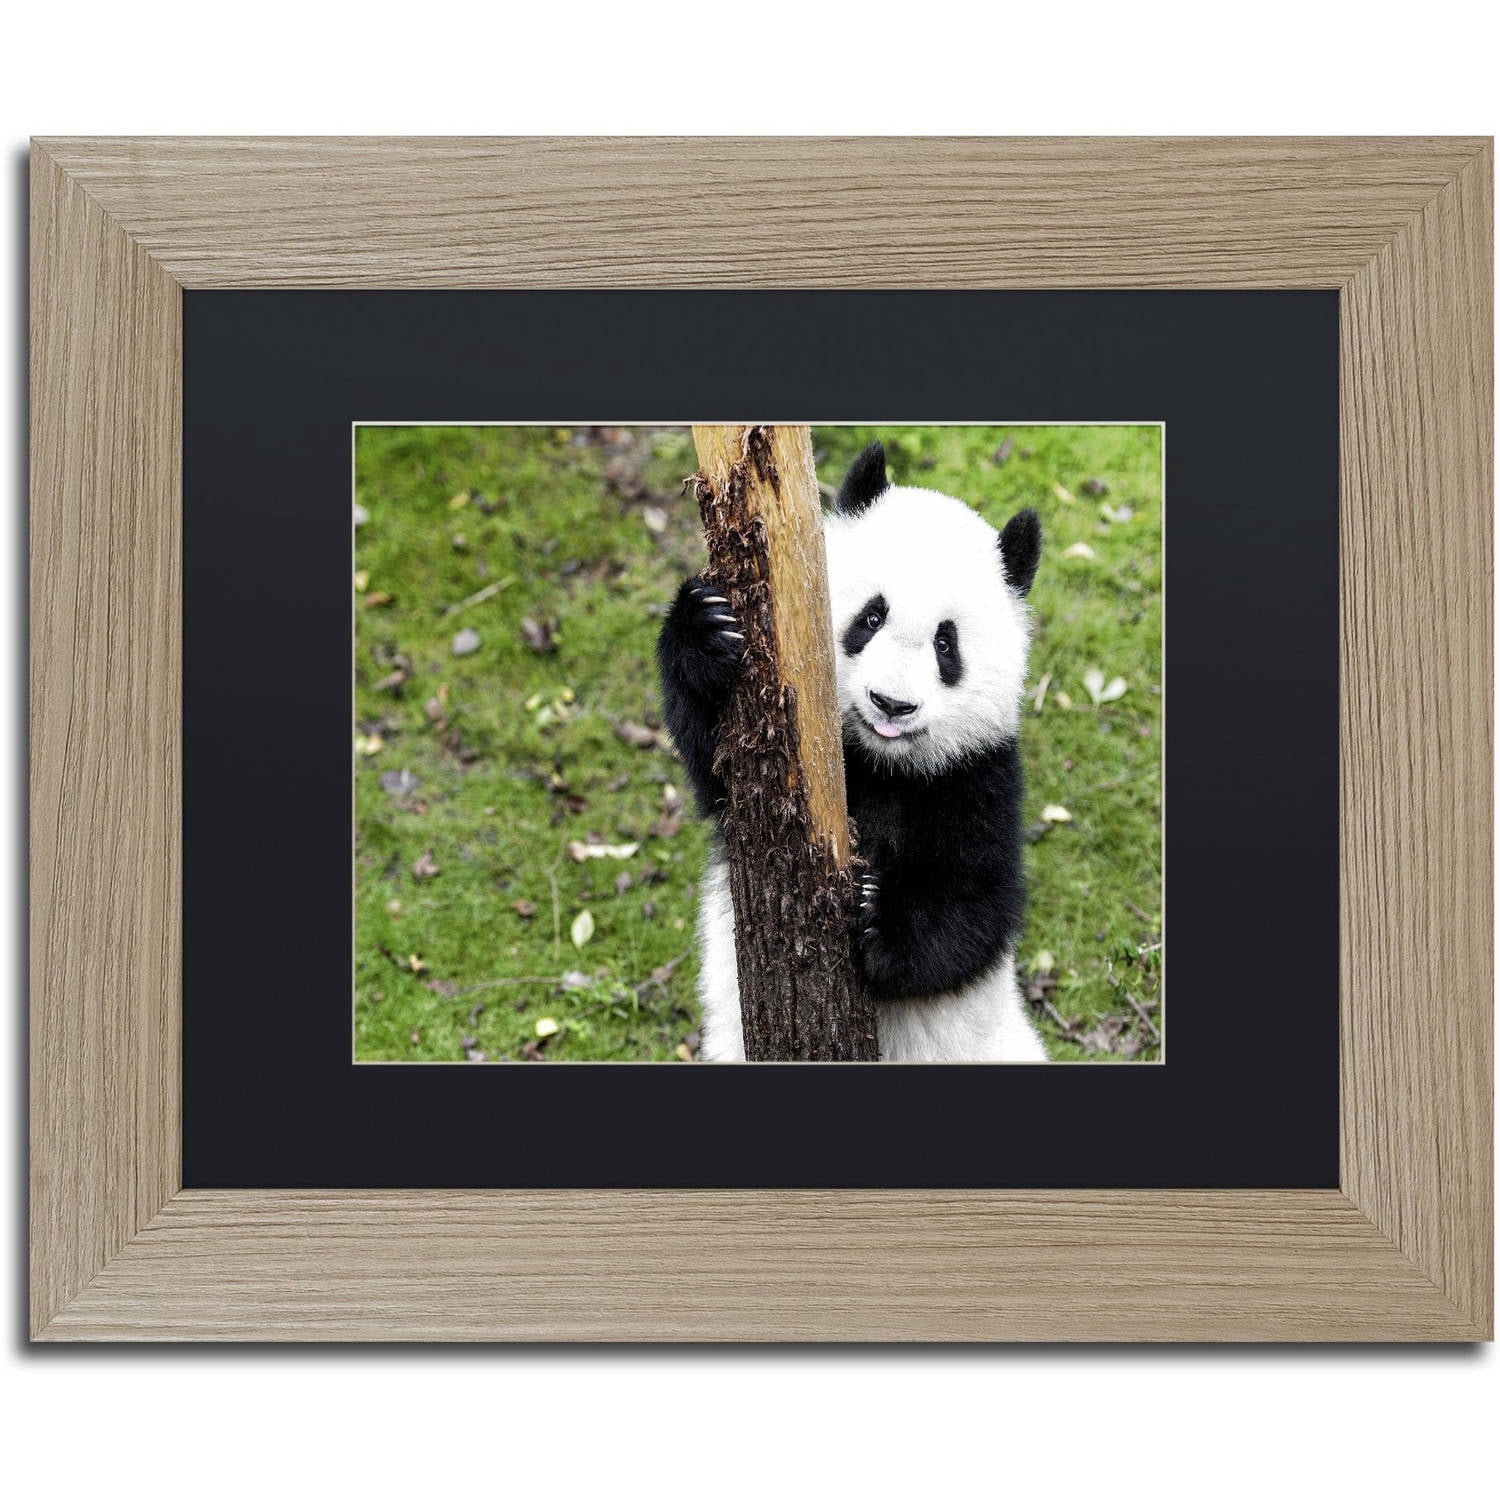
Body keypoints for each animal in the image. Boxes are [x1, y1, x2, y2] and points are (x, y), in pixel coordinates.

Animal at [656, 440, 1048, 1063]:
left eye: (946, 644)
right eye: (871, 616)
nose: (891, 704)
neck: (880, 764)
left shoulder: (979, 775)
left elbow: (978, 903)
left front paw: (874, 917)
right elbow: (713, 766)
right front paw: (706, 626)